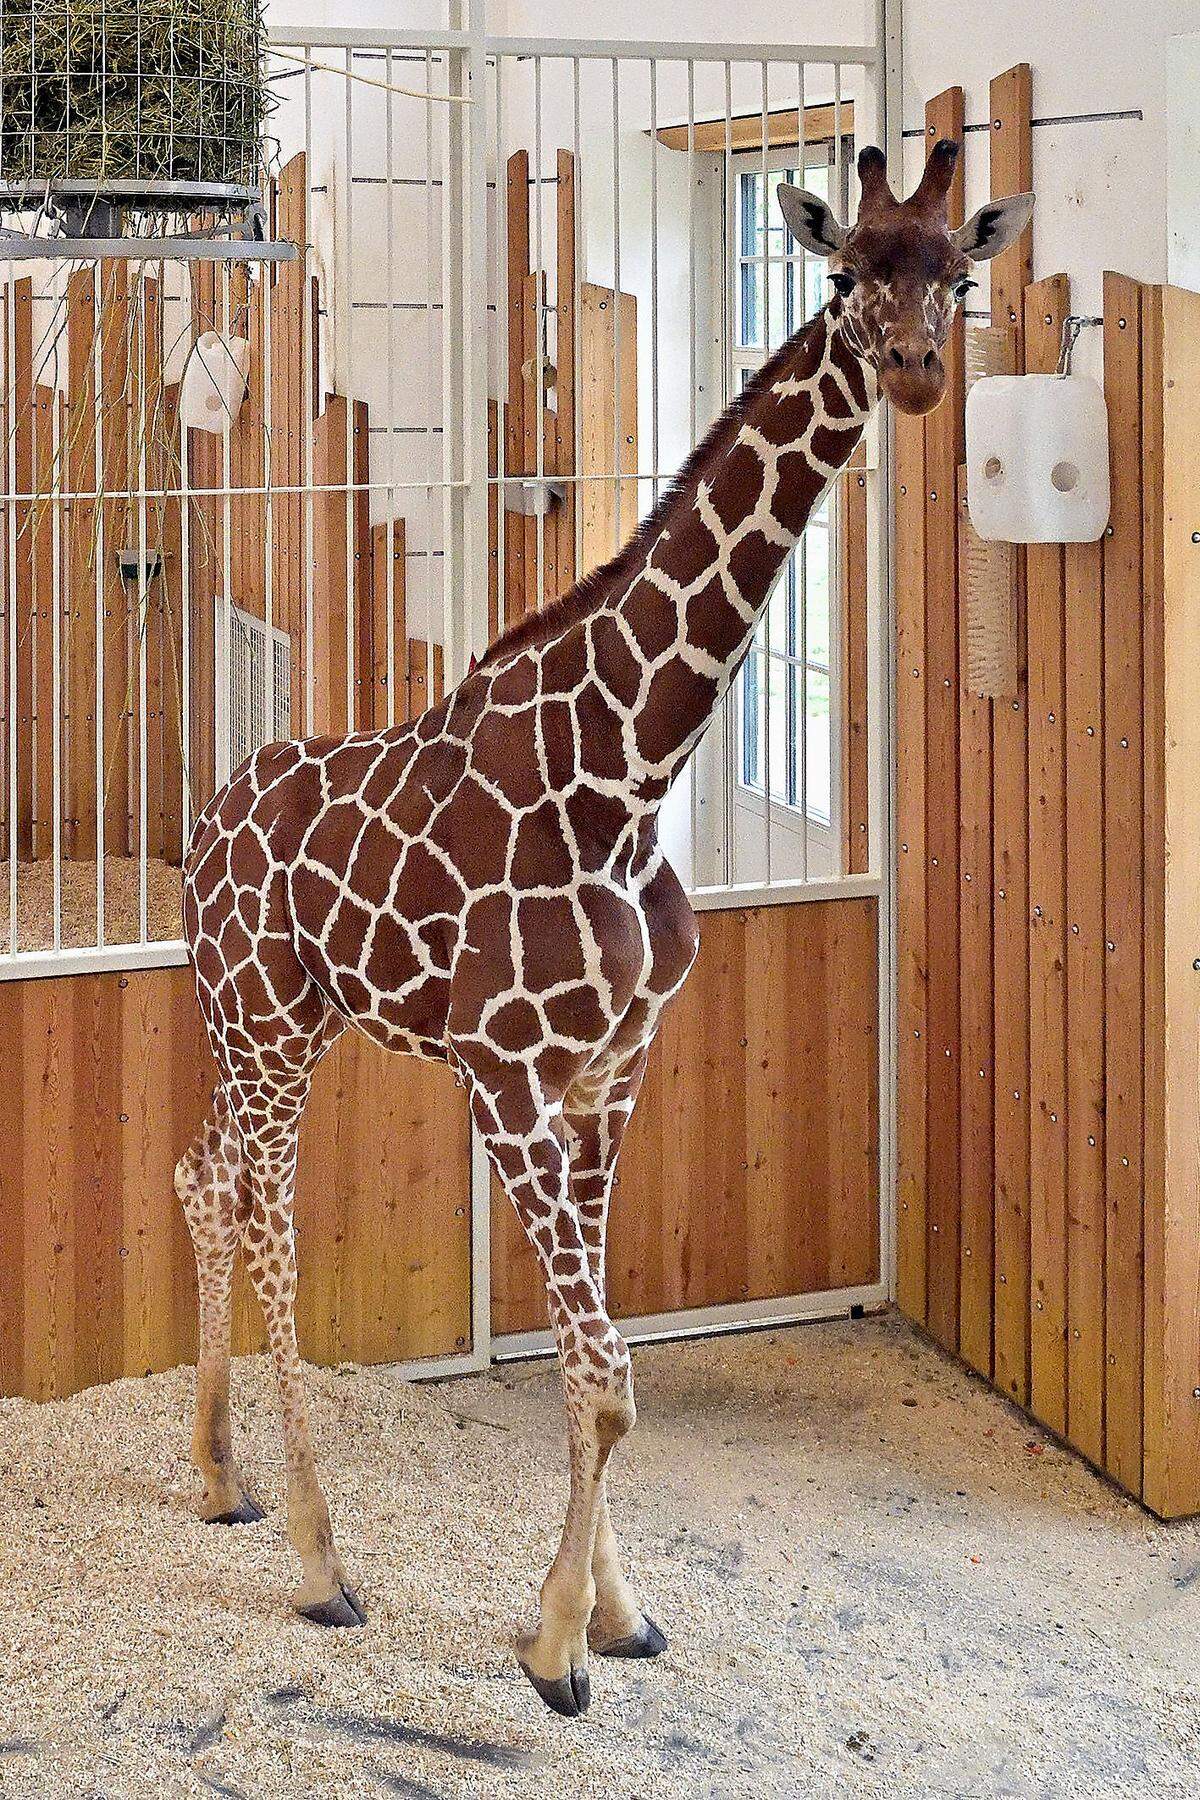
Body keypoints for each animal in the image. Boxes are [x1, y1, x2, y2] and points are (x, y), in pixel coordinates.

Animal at [173, 140, 1029, 1713]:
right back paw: (323, 1564)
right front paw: (561, 1647)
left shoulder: (611, 1075)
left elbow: (601, 1370)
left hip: (279, 1023)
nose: (920, 370)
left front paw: (609, 1613)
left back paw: (218, 1478)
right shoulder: (505, 1082)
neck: (628, 774)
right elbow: (601, 1368)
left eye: (956, 270)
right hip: (263, 1023)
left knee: (209, 1182)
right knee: (264, 1214)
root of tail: (203, 837)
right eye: (843, 270)